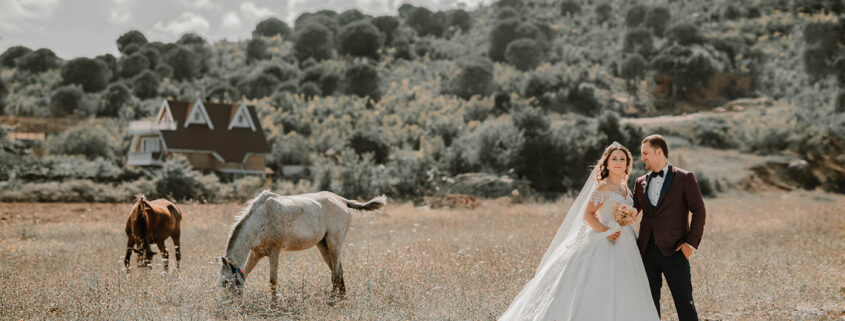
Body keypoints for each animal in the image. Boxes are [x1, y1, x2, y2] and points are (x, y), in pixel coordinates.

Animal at [218, 190, 390, 298]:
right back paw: (343, 302)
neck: (260, 218)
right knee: (339, 272)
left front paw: (274, 307)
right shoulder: (257, 253)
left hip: (334, 244)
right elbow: (245, 276)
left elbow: (273, 281)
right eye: (220, 283)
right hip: (323, 245)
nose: (225, 309)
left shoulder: (274, 251)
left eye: (226, 283)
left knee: (335, 274)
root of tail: (343, 200)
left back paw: (332, 303)